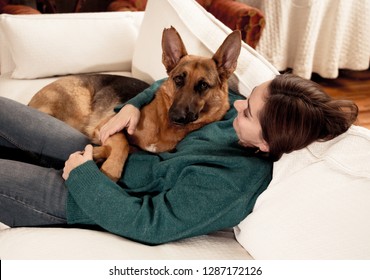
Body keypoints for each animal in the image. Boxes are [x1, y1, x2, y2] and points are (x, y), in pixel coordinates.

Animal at [29, 26, 243, 182]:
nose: (175, 116)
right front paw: (109, 170)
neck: (163, 127)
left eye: (203, 85)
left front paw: (94, 155)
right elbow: (122, 143)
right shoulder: (107, 126)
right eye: (178, 80)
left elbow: (124, 147)